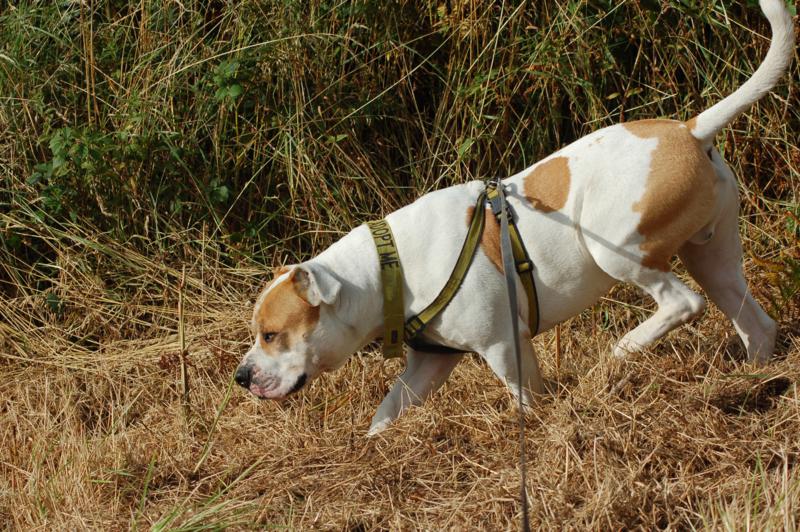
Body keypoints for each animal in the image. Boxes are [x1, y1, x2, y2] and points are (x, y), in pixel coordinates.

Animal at [236, 2, 792, 436]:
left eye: (270, 334)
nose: (241, 377)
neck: (385, 271)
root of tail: (689, 129)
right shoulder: (428, 364)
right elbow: (387, 412)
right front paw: (376, 448)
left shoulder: (505, 345)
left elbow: (525, 398)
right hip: (714, 259)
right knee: (753, 321)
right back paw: (749, 384)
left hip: (618, 251)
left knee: (682, 303)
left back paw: (623, 352)